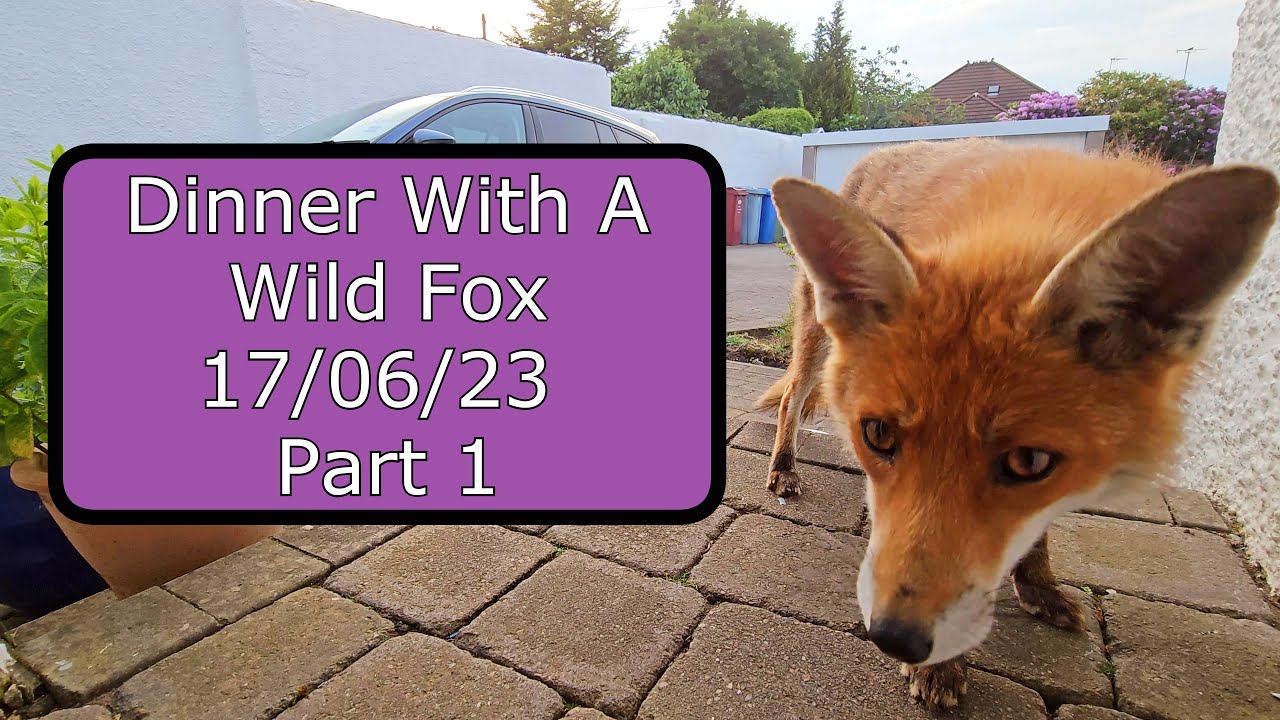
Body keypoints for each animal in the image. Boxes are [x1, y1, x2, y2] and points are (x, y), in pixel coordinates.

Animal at [755, 138, 1279, 710]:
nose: (894, 638)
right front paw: (941, 667)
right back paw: (784, 469)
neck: (1018, 230)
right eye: (879, 435)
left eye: (1029, 462)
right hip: (817, 336)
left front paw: (1038, 586)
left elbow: (1034, 529)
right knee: (792, 399)